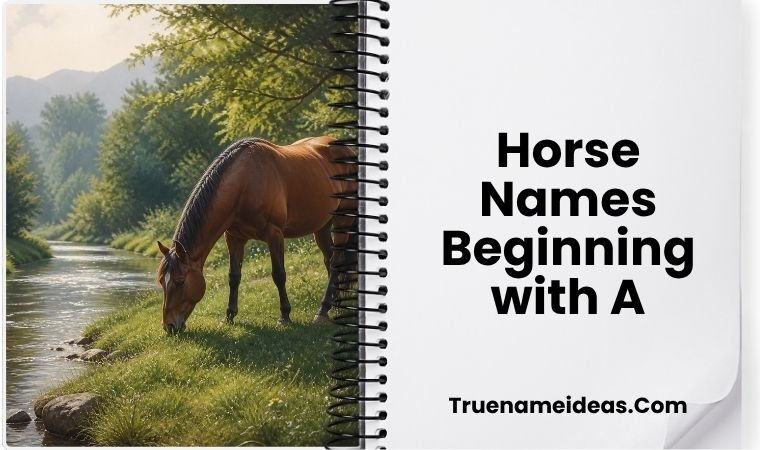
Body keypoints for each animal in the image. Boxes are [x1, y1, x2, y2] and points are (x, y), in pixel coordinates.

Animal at [156, 136, 357, 333]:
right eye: (161, 282)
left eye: (180, 281)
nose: (169, 326)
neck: (245, 184)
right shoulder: (234, 238)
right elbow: (234, 276)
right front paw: (229, 316)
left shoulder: (274, 234)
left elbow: (279, 274)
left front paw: (284, 316)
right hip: (322, 227)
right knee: (329, 261)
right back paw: (333, 306)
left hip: (343, 221)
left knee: (335, 263)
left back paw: (322, 311)